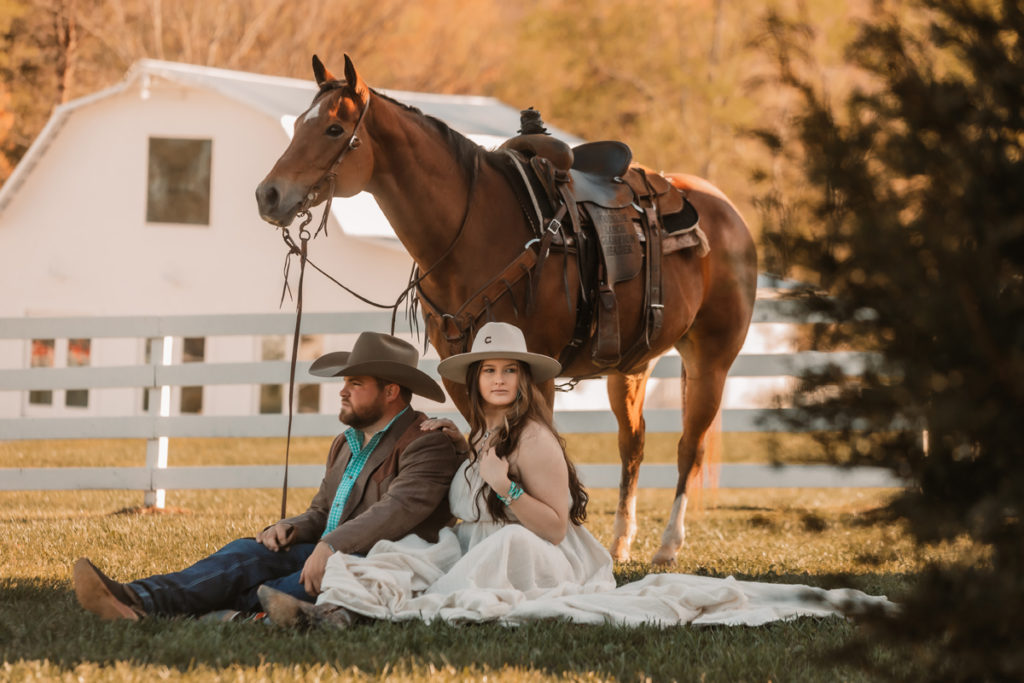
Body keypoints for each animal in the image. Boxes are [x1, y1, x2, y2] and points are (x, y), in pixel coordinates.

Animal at [251, 54, 757, 565]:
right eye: (299, 122)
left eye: (334, 128)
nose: (267, 195)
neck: (475, 230)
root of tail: (725, 209)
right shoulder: (461, 369)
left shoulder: (537, 371)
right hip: (631, 367)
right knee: (632, 445)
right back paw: (620, 543)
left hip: (711, 360)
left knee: (689, 447)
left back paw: (668, 546)